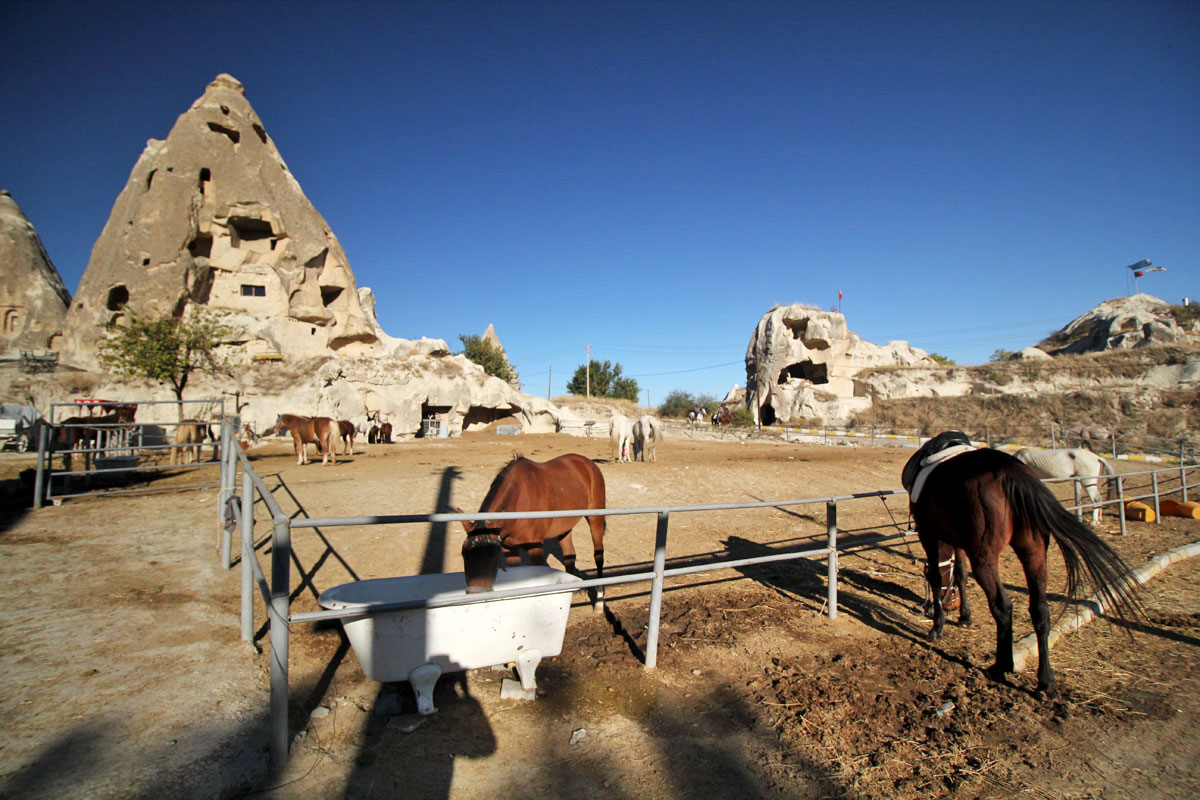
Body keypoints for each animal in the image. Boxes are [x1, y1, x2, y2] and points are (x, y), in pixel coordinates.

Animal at [458, 450, 609, 614]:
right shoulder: (509, 548)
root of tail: (588, 463)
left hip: (595, 519)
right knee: (570, 556)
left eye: (493, 556)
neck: (519, 499)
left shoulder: (535, 547)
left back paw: (599, 602)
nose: (474, 595)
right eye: (464, 554)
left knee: (598, 556)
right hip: (564, 527)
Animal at [902, 429, 1137, 695]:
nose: (931, 609)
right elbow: (960, 574)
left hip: (985, 559)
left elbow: (936, 576)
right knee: (1040, 611)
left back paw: (1001, 666)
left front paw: (937, 627)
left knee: (1003, 607)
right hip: (1034, 553)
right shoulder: (957, 539)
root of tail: (1014, 474)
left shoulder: (929, 534)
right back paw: (1045, 681)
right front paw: (964, 617)